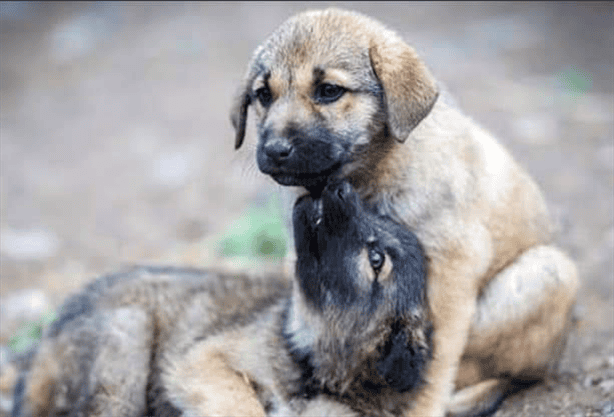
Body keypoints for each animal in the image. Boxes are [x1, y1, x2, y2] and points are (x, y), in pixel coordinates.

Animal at [232, 7, 584, 416]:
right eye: (263, 95)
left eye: (329, 91)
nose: (275, 150)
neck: (376, 170)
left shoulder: (450, 272)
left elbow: (434, 363)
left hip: (548, 274)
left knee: (503, 373)